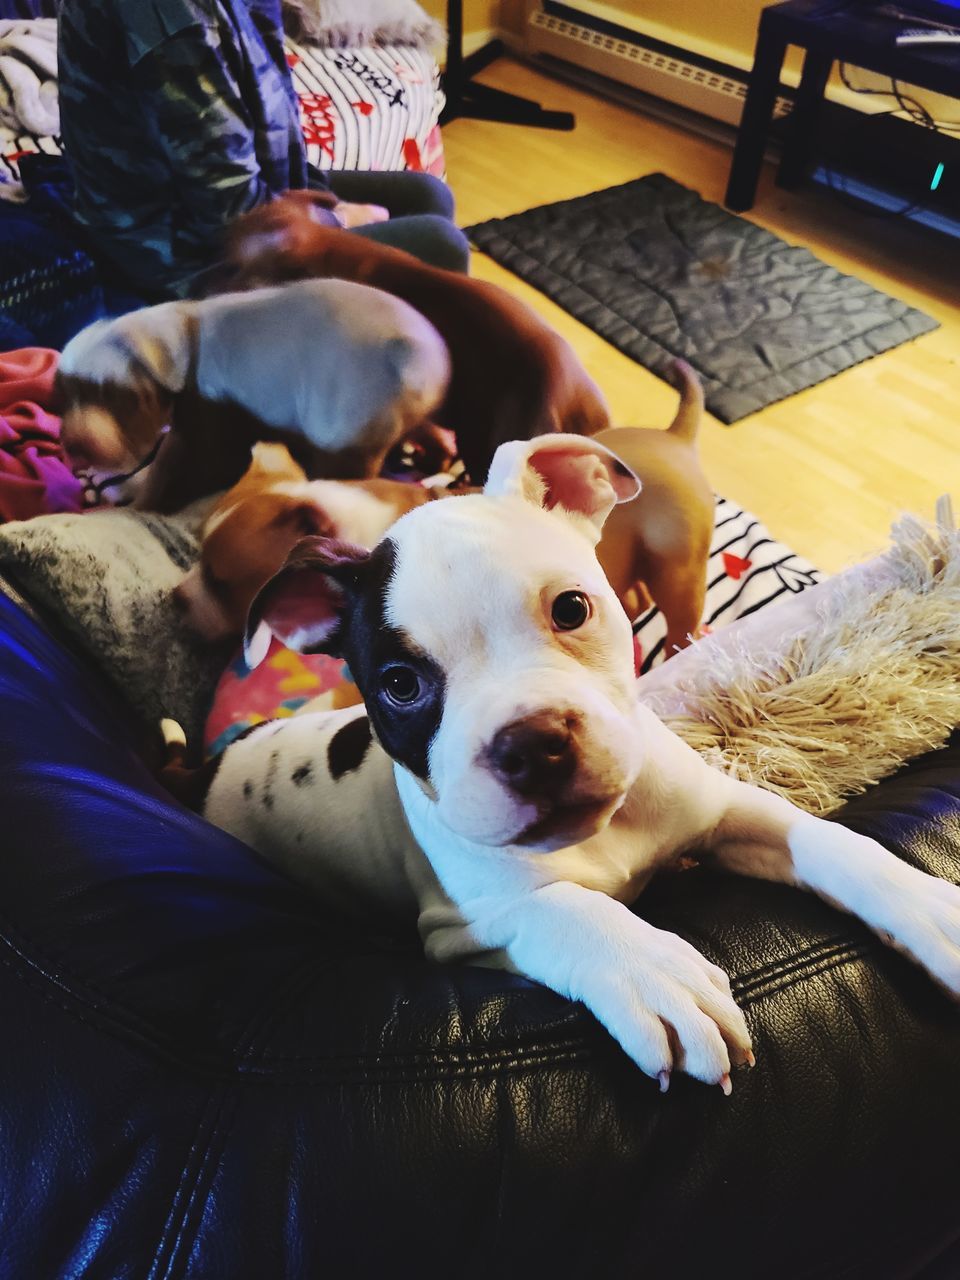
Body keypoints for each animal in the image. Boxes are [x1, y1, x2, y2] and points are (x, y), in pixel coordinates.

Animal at [55, 282, 450, 512]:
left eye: (120, 398)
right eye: (62, 397)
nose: (76, 444)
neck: (180, 332)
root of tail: (417, 357)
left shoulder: (204, 417)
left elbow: (176, 466)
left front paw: (141, 505)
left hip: (348, 419)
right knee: (430, 431)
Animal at [195, 437, 960, 1090]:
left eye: (571, 608)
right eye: (399, 685)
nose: (532, 744)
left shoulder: (730, 809)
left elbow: (829, 840)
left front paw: (927, 906)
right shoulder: (460, 927)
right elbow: (560, 906)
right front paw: (651, 969)